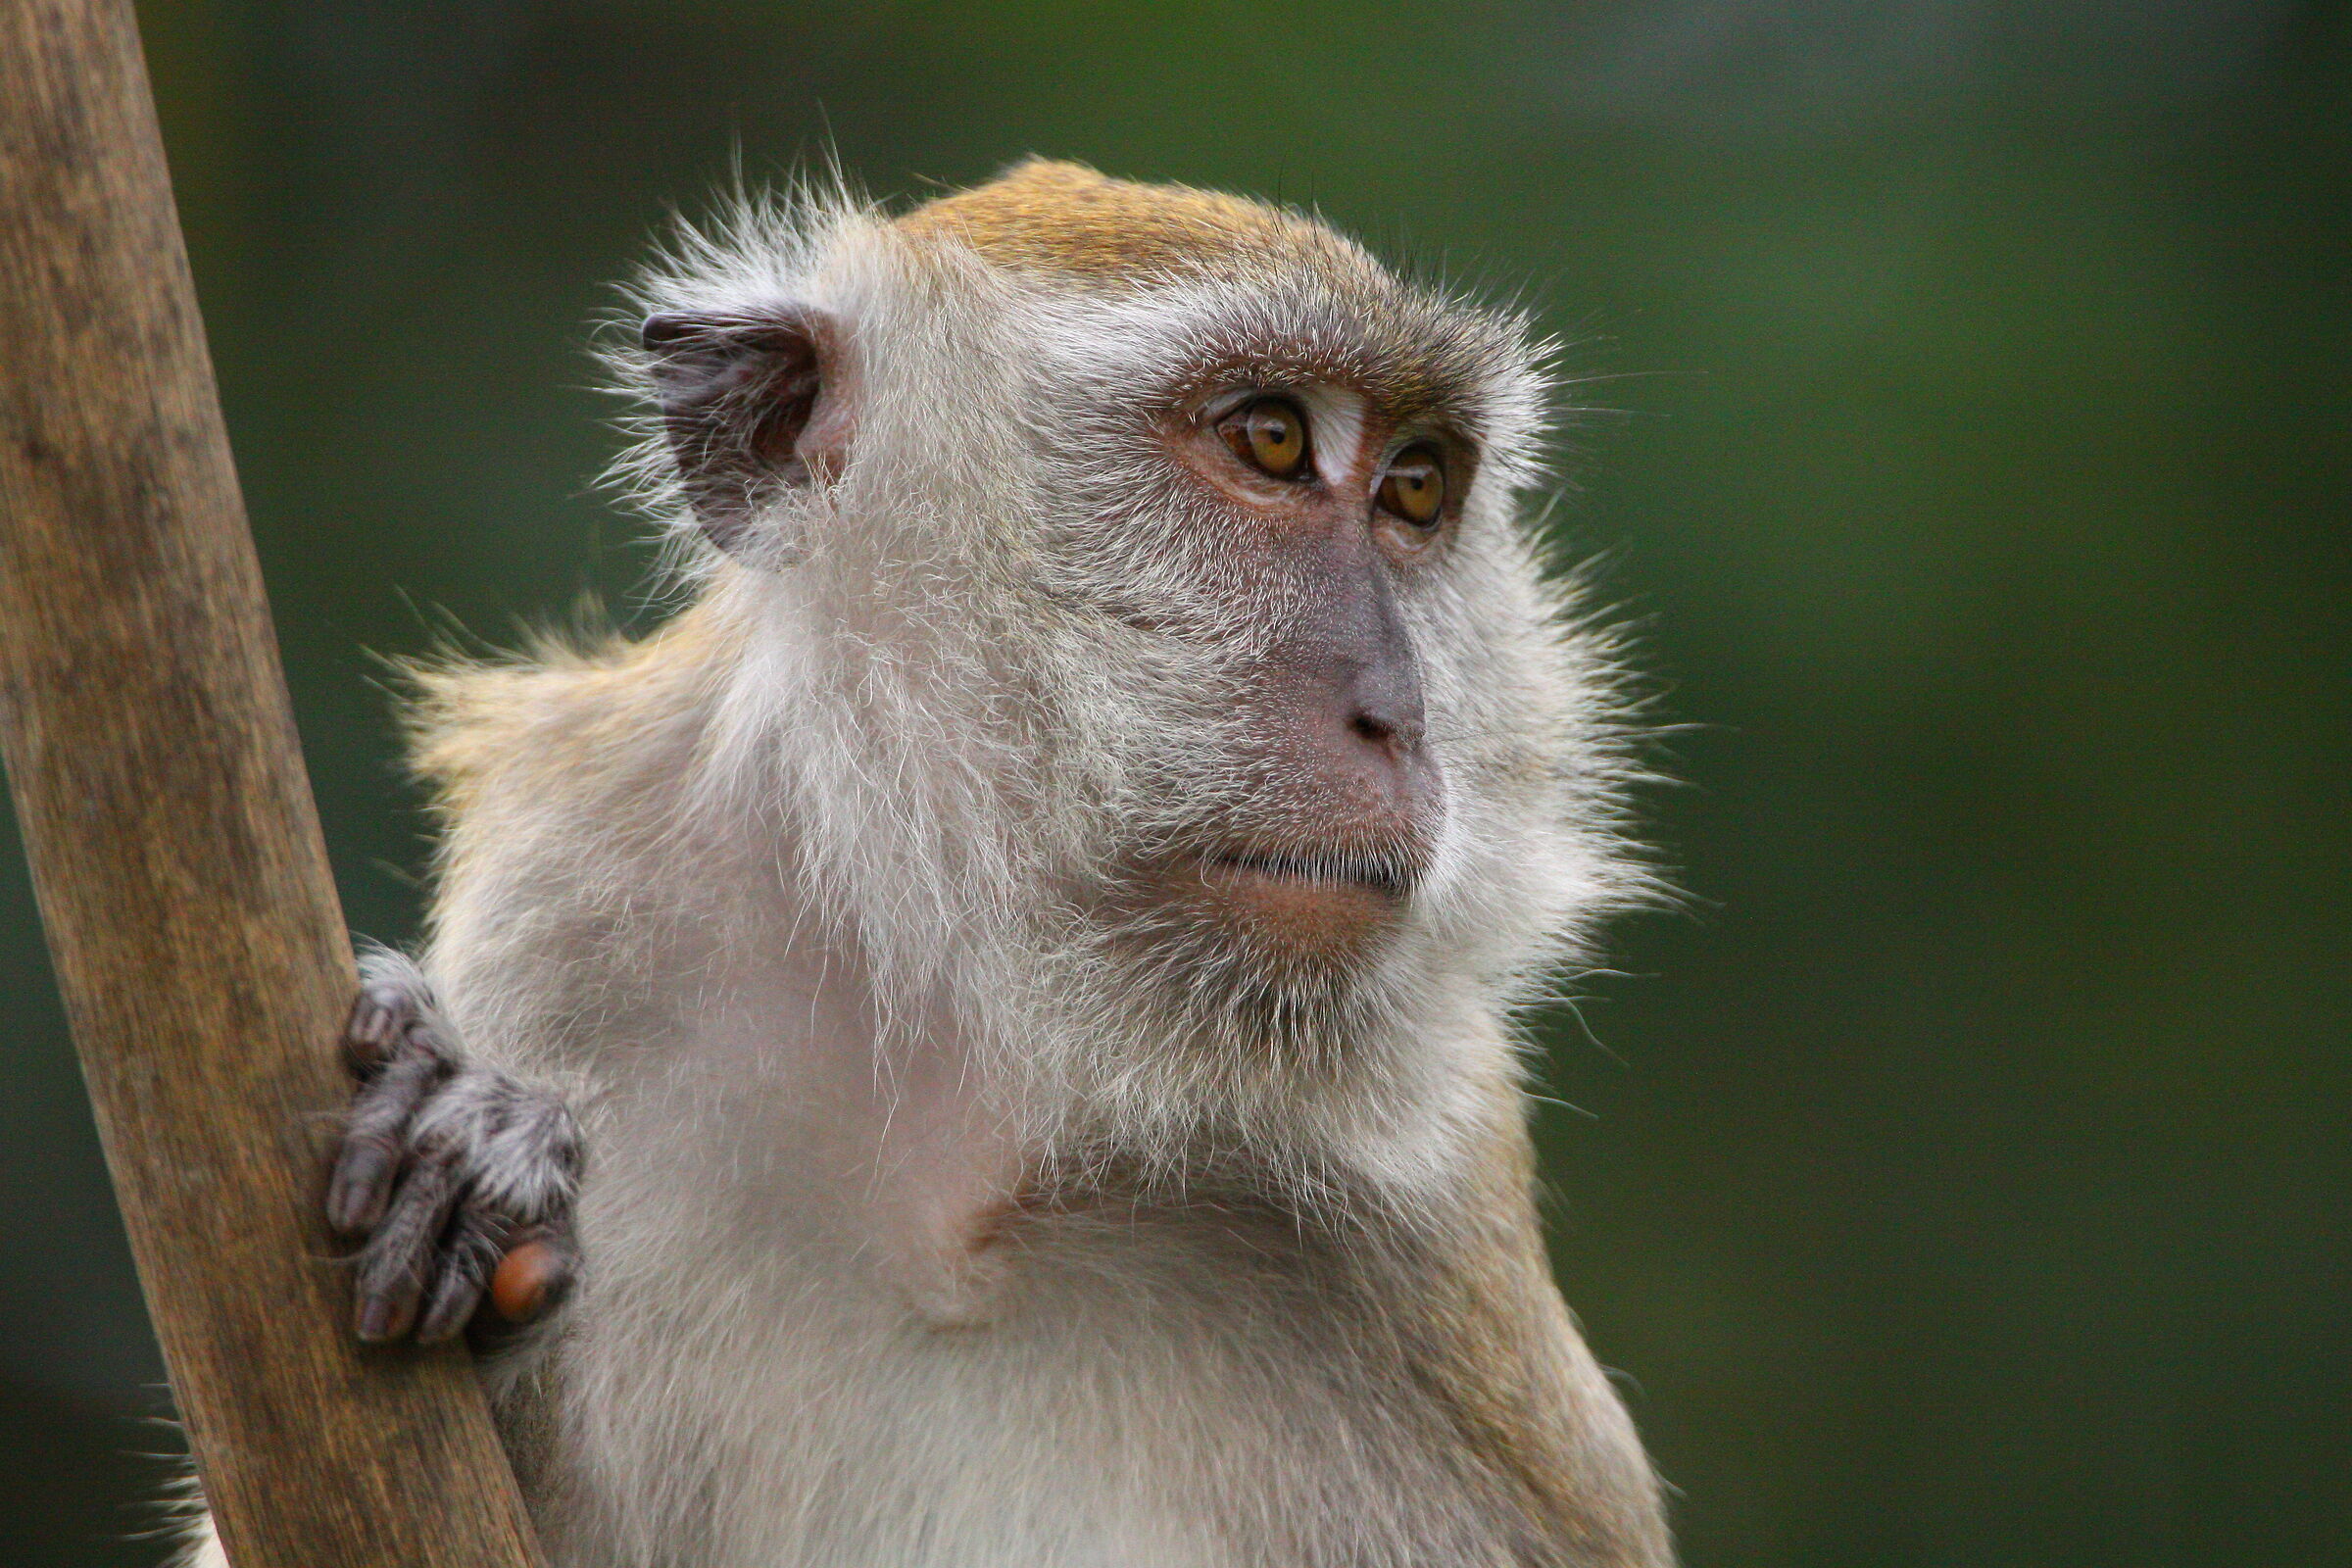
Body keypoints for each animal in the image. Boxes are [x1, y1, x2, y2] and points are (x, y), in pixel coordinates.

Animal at [180, 158, 1672, 1568]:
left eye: (1415, 487)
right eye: (1272, 438)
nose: (1396, 717)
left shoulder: (1431, 1223)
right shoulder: (573, 907)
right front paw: (474, 1159)